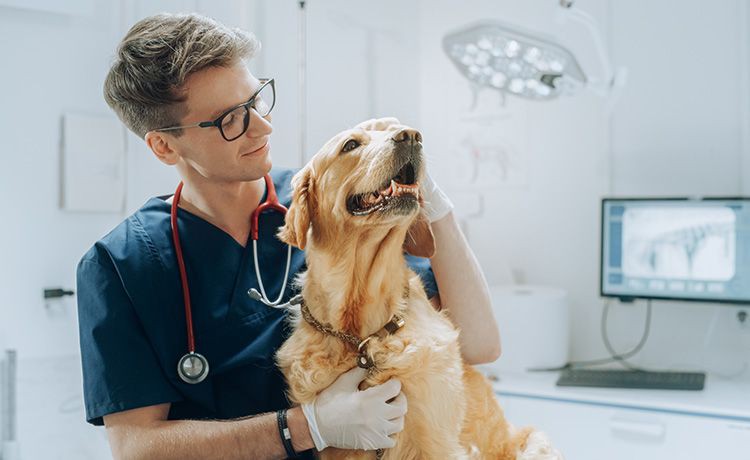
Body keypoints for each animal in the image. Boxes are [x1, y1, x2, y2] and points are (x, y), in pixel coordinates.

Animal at [274, 117, 560, 458]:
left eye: (392, 128)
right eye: (350, 145)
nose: (410, 136)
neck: (362, 336)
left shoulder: (435, 439)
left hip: (535, 444)